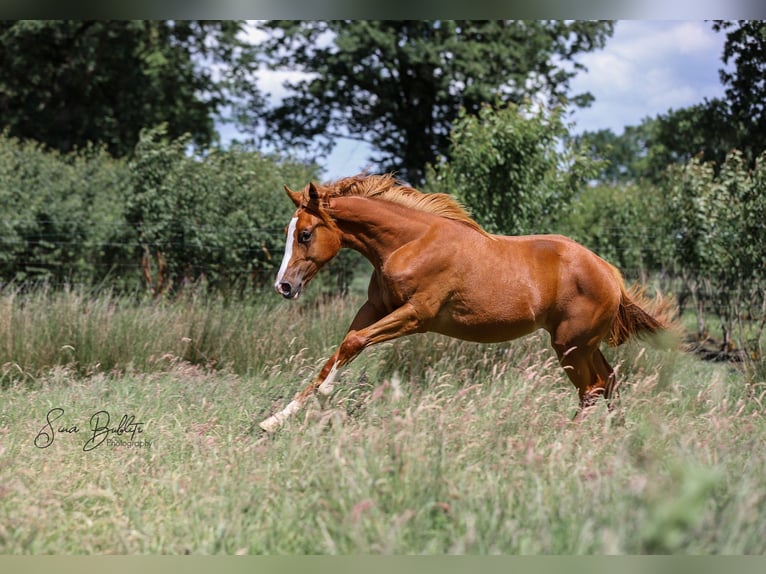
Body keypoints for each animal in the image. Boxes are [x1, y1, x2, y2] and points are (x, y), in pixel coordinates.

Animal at [259, 173, 667, 432]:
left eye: (305, 234)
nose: (284, 286)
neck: (409, 244)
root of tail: (610, 274)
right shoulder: (374, 309)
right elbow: (337, 353)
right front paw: (275, 420)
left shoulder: (415, 316)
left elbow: (352, 344)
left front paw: (326, 395)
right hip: (585, 345)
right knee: (608, 382)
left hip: (570, 345)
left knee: (592, 389)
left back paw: (567, 439)